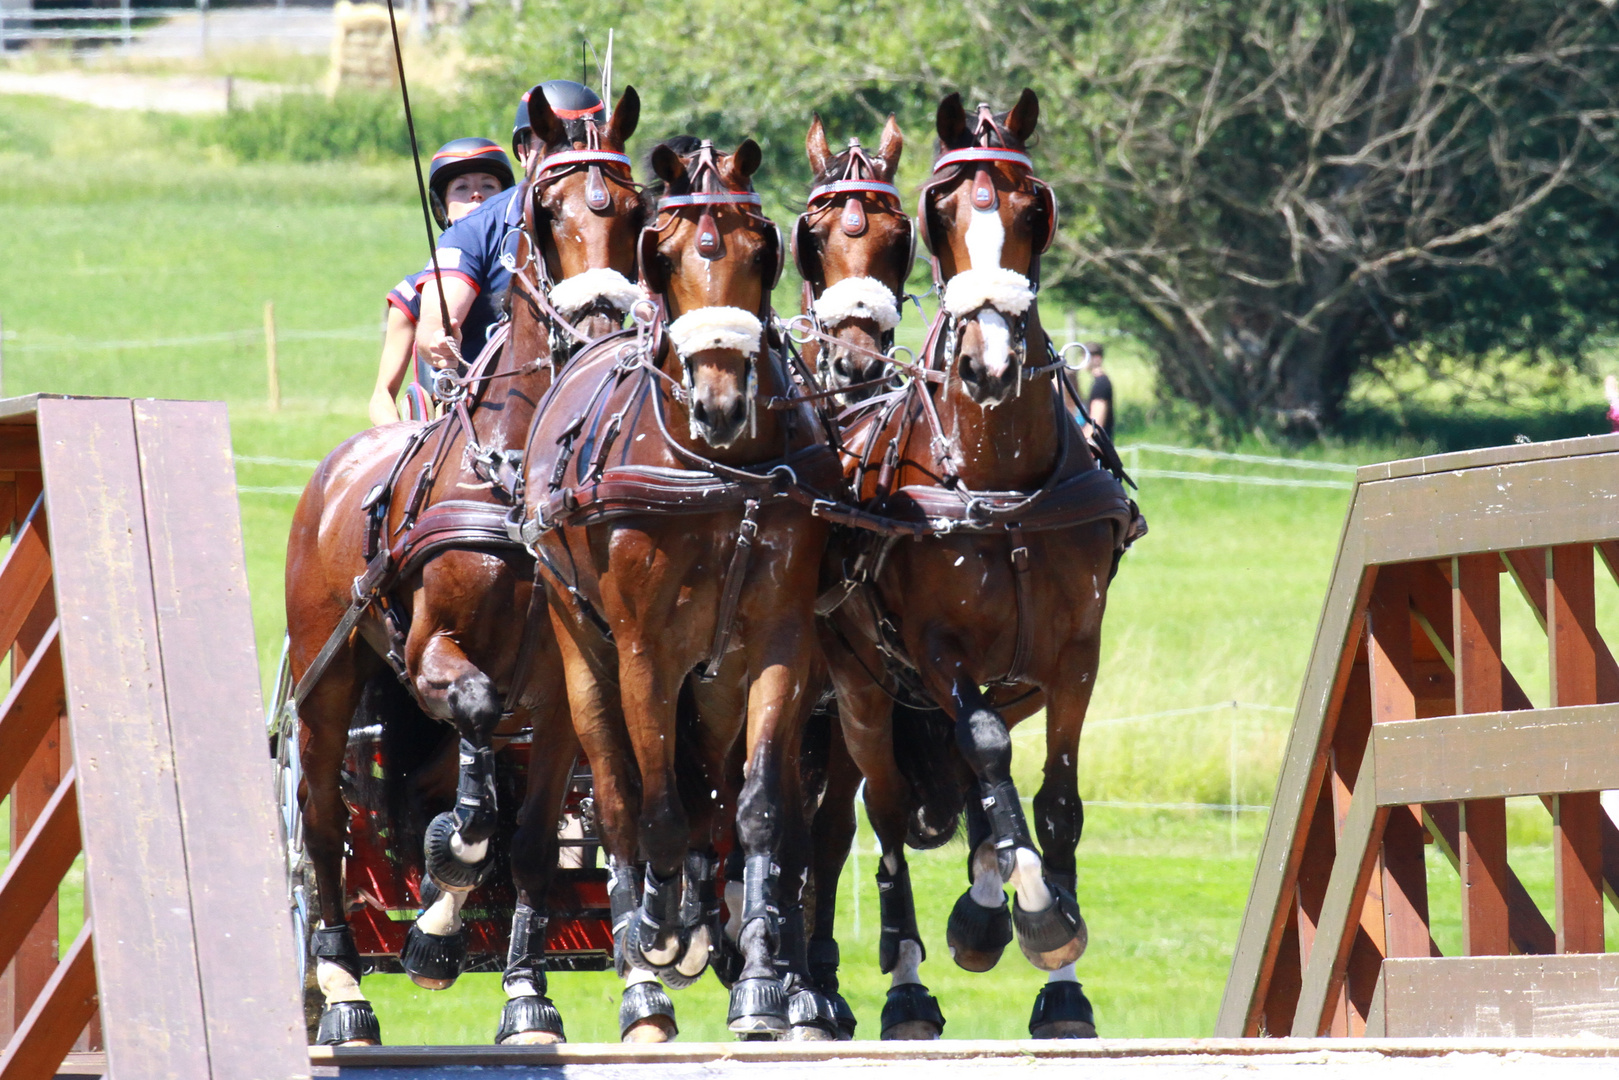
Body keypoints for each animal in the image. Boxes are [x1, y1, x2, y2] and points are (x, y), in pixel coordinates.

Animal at [284, 88, 644, 1049]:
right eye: (546, 215)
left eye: (635, 212)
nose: (599, 325)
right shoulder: (434, 654)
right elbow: (473, 796)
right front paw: (447, 896)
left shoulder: (560, 696)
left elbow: (529, 845)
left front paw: (522, 995)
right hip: (331, 684)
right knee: (323, 824)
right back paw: (341, 991)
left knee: (417, 791)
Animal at [521, 135, 848, 1036]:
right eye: (661, 255)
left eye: (760, 250)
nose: (721, 402)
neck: (719, 475)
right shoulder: (645, 653)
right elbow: (655, 810)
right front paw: (659, 924)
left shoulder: (777, 646)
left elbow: (760, 807)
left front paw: (763, 980)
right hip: (581, 648)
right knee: (619, 793)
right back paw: (649, 942)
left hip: (718, 680)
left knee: (711, 796)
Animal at [822, 90, 1139, 1036]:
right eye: (941, 214)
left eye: (1034, 211)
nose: (989, 363)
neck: (999, 477)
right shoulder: (935, 650)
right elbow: (988, 749)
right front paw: (1030, 909)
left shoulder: (1074, 654)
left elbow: (1054, 805)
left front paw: (1056, 961)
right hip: (860, 698)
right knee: (891, 812)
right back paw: (908, 980)